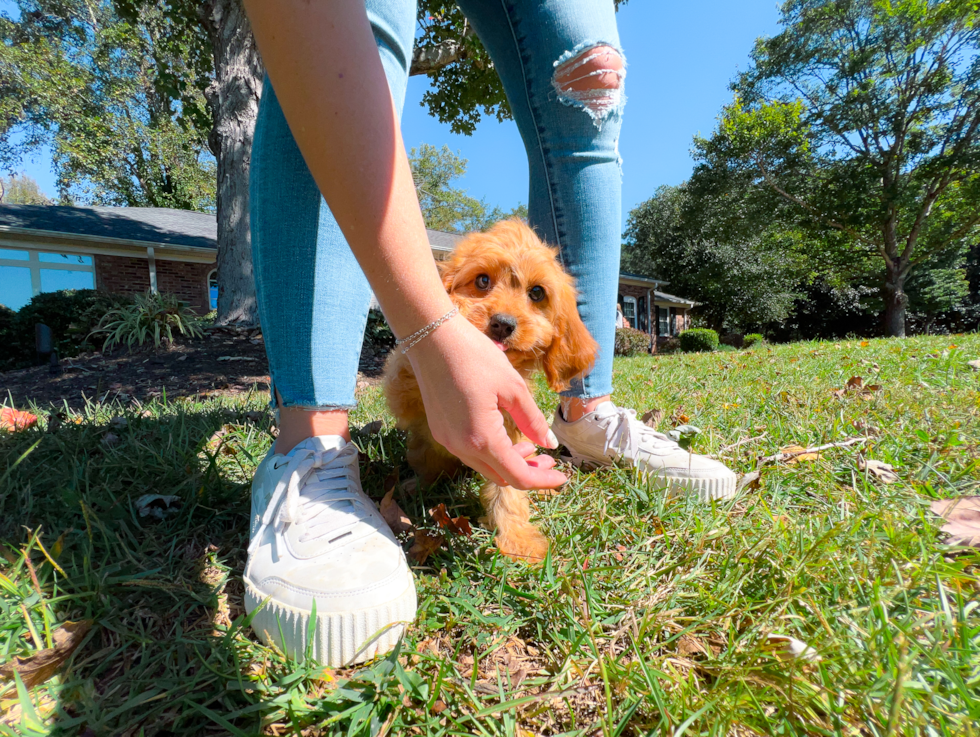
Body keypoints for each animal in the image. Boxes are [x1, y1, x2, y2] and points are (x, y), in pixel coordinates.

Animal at [382, 218, 596, 564]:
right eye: (482, 281)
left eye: (537, 293)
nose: (503, 323)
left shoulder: (508, 434)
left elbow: (508, 488)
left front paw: (519, 541)